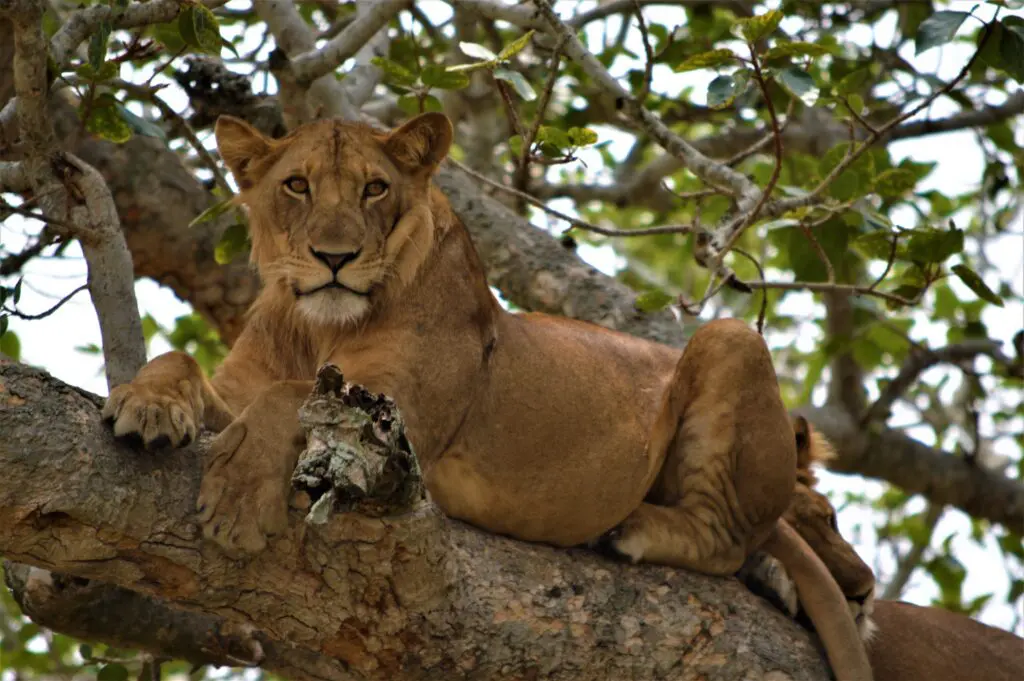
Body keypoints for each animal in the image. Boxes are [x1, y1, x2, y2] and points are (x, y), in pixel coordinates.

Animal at [102, 113, 870, 681]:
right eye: (296, 185)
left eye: (374, 189)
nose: (334, 258)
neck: (316, 322)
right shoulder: (243, 391)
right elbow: (184, 362)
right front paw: (146, 405)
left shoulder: (390, 423)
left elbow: (287, 399)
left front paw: (235, 500)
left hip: (730, 335)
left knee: (726, 537)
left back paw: (637, 529)